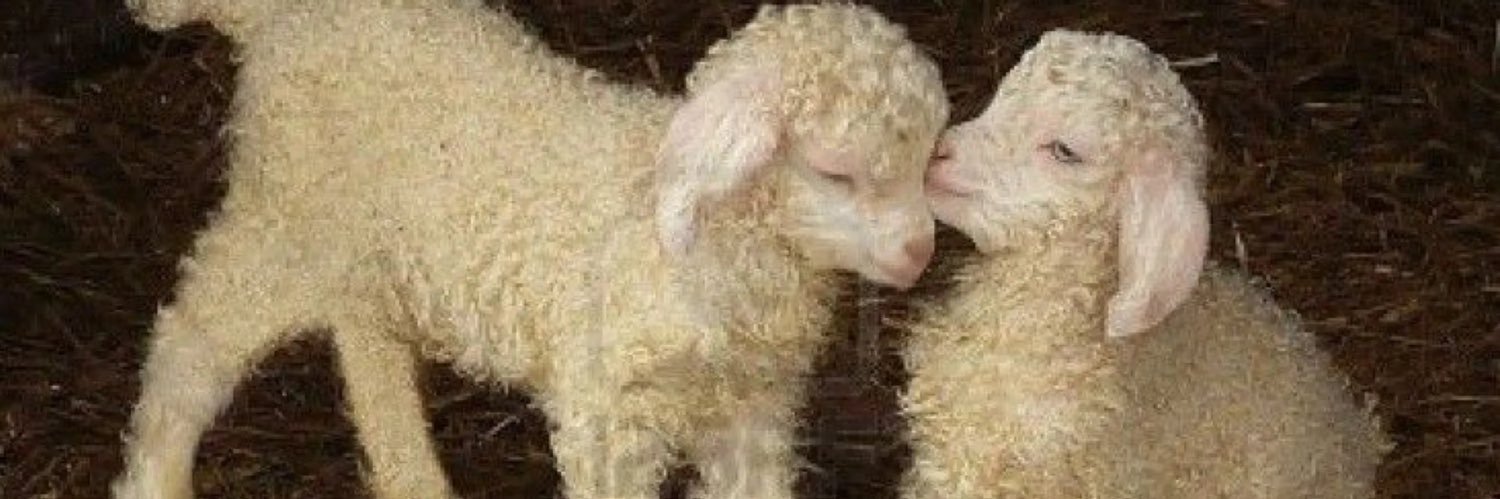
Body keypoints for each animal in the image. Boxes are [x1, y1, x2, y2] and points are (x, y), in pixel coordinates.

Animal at [109, 1, 951, 498]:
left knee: (365, 342)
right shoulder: (609, 412)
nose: (918, 253)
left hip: (364, 245)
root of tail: (280, 15)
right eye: (836, 171)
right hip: (290, 215)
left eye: (926, 160)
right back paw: (156, 475)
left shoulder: (751, 407)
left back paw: (413, 475)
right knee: (191, 333)